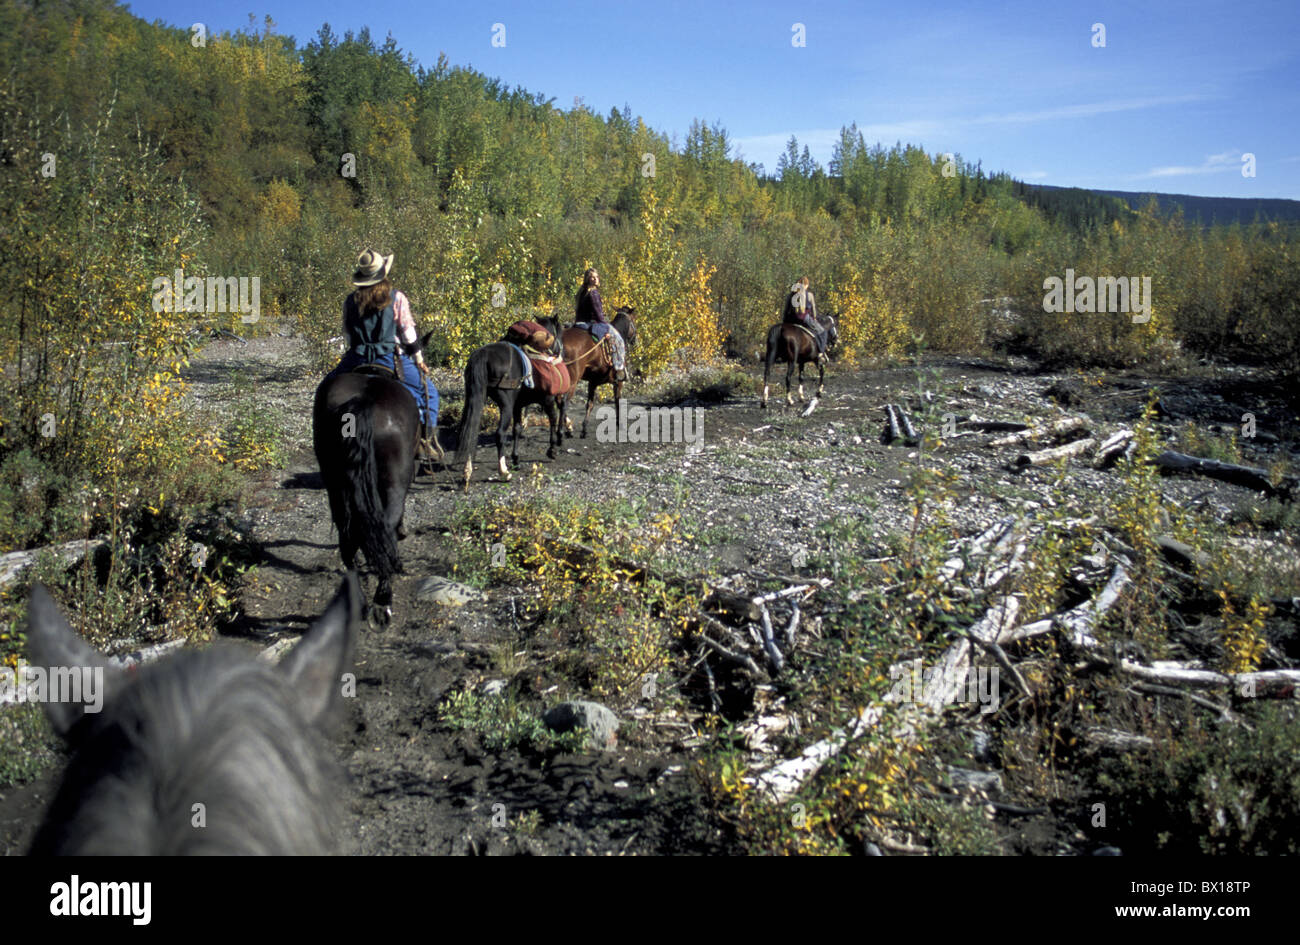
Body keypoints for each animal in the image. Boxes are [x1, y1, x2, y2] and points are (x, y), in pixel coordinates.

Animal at [313, 332, 433, 624]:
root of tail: (361, 403)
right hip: (394, 478)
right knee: (386, 524)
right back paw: (384, 596)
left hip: (334, 482)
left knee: (347, 538)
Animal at [454, 315, 569, 489]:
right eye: (559, 333)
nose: (561, 352)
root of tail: (483, 355)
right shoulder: (547, 399)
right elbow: (552, 419)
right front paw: (552, 449)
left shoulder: (518, 406)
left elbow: (517, 429)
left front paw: (516, 459)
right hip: (505, 405)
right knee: (500, 434)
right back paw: (503, 472)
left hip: (476, 398)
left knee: (470, 430)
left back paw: (467, 473)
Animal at [559, 306, 638, 438]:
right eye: (633, 320)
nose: (634, 340)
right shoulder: (618, 382)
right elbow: (617, 401)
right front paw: (620, 424)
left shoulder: (593, 383)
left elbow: (589, 404)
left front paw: (584, 428)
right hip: (572, 381)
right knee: (562, 402)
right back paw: (568, 428)